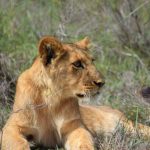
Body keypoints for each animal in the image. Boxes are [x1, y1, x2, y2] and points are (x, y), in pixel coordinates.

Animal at [0, 36, 149, 149]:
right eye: (77, 64)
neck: (52, 99)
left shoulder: (75, 127)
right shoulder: (11, 127)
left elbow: (84, 142)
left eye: (92, 61)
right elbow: (18, 143)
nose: (102, 82)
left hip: (125, 125)